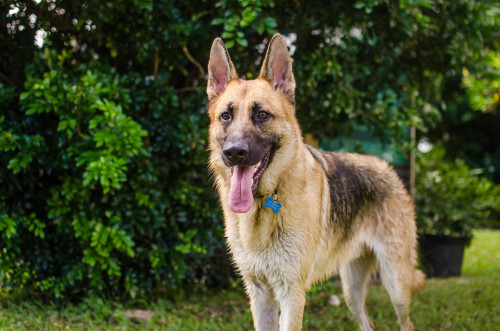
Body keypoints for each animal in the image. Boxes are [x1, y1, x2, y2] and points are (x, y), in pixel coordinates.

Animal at [205, 34, 424, 331]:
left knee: (406, 322)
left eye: (262, 115)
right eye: (226, 116)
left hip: (396, 285)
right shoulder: (260, 295)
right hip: (351, 292)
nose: (234, 152)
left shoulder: (292, 294)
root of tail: (386, 167)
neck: (267, 202)